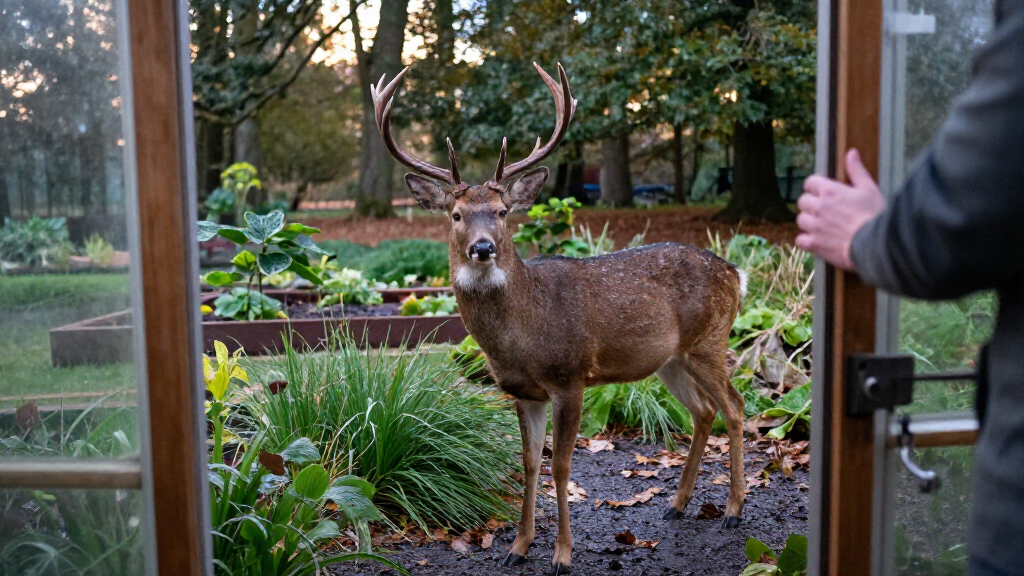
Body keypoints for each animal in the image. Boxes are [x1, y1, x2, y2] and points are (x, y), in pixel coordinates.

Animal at [371, 63, 748, 576]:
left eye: (503, 212)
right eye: (455, 215)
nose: (482, 247)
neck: (523, 335)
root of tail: (735, 272)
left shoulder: (570, 377)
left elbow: (562, 465)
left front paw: (562, 555)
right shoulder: (522, 391)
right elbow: (529, 462)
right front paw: (517, 547)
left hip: (709, 339)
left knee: (735, 406)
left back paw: (732, 511)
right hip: (670, 359)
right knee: (704, 410)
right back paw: (677, 504)